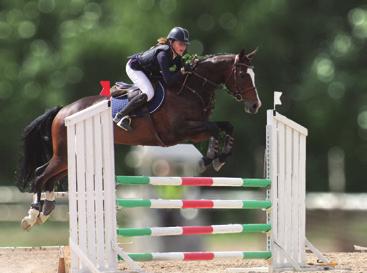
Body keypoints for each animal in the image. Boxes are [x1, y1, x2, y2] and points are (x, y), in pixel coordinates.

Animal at [17, 49, 262, 230]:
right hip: (64, 155)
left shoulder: (194, 130)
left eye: (253, 75)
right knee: (40, 176)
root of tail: (63, 111)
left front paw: (216, 158)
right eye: (242, 75)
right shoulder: (178, 131)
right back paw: (32, 215)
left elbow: (224, 127)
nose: (255, 106)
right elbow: (214, 128)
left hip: (73, 157)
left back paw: (46, 210)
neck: (189, 90)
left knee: (47, 176)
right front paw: (214, 158)